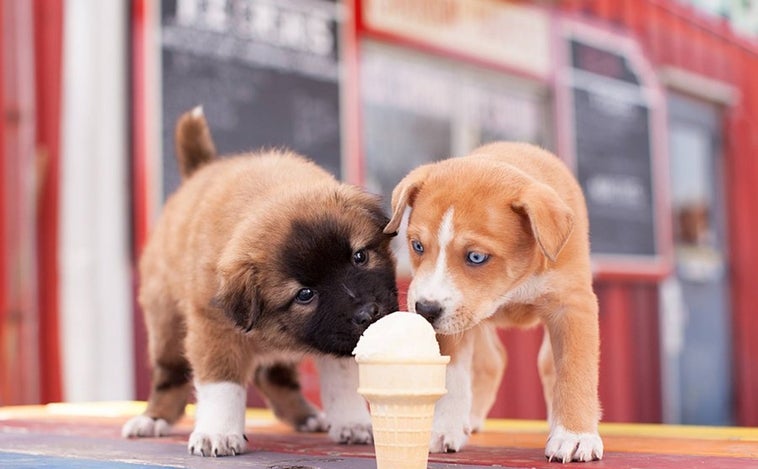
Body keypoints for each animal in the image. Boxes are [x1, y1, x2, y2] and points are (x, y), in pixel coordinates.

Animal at [121, 108, 400, 456]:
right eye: (305, 294)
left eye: (359, 257)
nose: (368, 313)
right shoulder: (215, 330)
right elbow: (222, 385)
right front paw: (217, 433)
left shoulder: (340, 339)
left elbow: (342, 381)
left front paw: (352, 422)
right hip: (166, 325)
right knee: (169, 375)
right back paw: (153, 419)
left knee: (273, 375)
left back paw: (305, 416)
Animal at [386, 142, 604, 460]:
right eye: (417, 246)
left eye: (476, 257)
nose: (424, 310)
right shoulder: (453, 321)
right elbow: (452, 376)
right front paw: (444, 428)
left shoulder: (573, 307)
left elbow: (574, 371)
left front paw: (575, 436)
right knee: (491, 361)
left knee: (546, 365)